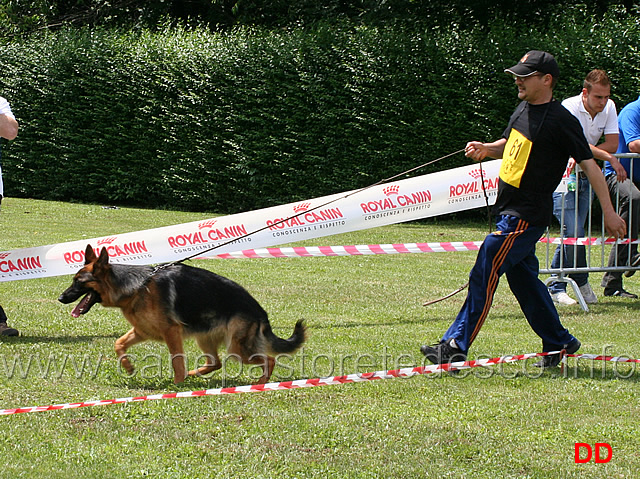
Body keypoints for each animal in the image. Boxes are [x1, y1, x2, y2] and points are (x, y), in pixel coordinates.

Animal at [58, 246, 306, 384]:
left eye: (78, 282)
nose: (61, 298)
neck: (137, 287)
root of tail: (260, 311)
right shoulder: (142, 331)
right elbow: (118, 344)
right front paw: (128, 367)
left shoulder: (171, 332)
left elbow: (176, 360)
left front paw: (177, 385)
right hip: (205, 338)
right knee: (215, 362)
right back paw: (195, 374)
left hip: (237, 349)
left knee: (269, 359)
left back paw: (261, 382)